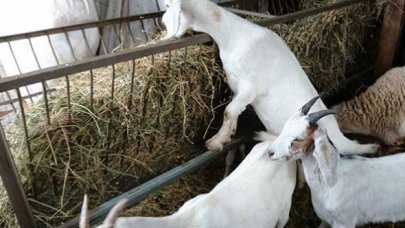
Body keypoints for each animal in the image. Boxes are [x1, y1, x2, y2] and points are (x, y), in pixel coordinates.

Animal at [161, 0, 378, 155]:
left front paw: (215, 142)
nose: (162, 22)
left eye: (167, 5)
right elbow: (235, 111)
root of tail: (340, 138)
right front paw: (229, 134)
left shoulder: (250, 87)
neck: (233, 36)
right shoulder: (236, 86)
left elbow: (229, 111)